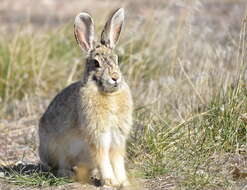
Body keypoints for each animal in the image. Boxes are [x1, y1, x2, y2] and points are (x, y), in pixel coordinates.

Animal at [38, 7, 133, 187]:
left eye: (116, 59)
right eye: (96, 63)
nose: (115, 78)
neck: (108, 94)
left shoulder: (118, 137)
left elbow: (117, 159)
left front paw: (123, 182)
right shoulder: (98, 134)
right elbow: (103, 157)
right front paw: (110, 181)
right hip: (57, 150)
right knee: (60, 167)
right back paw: (71, 174)